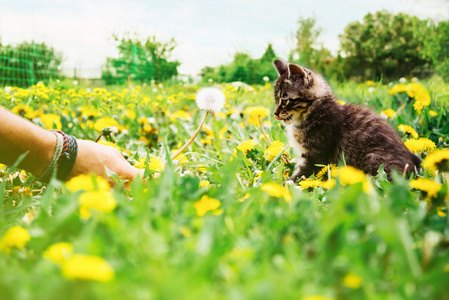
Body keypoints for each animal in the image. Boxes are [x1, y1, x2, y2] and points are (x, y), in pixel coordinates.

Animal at [272, 58, 422, 180]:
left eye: (285, 100)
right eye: (276, 99)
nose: (275, 113)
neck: (313, 112)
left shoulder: (315, 156)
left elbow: (301, 175)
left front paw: (286, 185)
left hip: (373, 158)